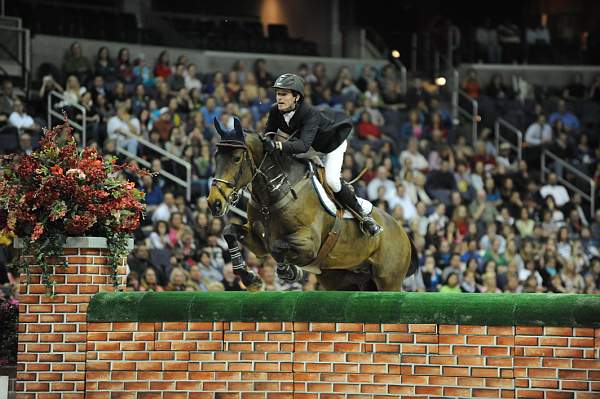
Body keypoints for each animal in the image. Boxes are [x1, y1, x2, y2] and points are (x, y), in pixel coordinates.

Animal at [206, 117, 418, 292]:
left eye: (236, 158)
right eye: (216, 156)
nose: (214, 203)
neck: (275, 193)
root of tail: (403, 233)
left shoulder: (310, 243)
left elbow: (277, 245)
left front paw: (289, 271)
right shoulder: (259, 243)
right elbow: (229, 231)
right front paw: (251, 279)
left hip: (388, 281)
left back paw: (371, 225)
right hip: (343, 281)